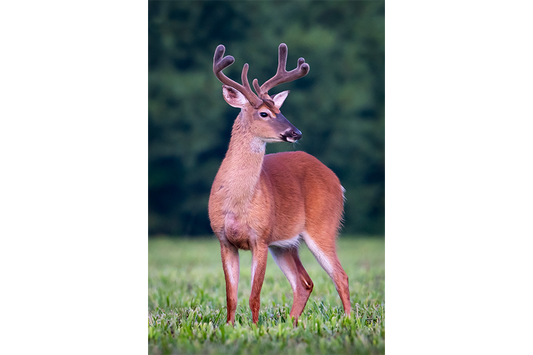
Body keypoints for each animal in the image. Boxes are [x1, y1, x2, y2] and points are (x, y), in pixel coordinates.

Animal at [209, 43, 354, 326]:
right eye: (264, 113)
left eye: (280, 110)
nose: (295, 132)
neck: (237, 201)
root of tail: (336, 180)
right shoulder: (224, 240)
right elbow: (231, 296)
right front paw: (230, 327)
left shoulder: (261, 237)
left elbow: (254, 295)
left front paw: (254, 328)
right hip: (285, 244)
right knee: (304, 282)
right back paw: (292, 323)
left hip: (322, 225)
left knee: (340, 276)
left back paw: (348, 322)